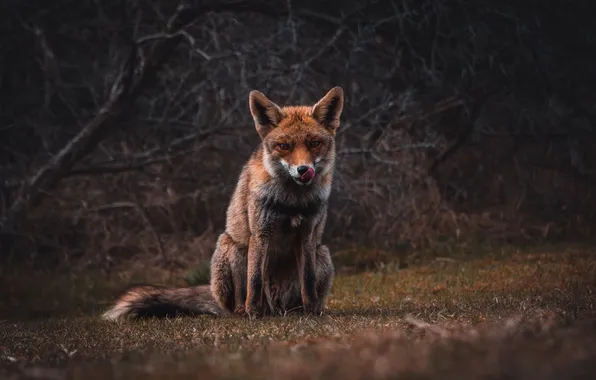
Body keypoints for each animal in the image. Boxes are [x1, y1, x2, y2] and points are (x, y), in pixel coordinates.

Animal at [102, 86, 344, 320]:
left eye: (314, 143)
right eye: (284, 146)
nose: (304, 170)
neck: (292, 201)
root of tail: (278, 309)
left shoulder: (307, 234)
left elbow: (308, 281)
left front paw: (312, 311)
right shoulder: (261, 232)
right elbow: (255, 280)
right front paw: (253, 313)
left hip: (322, 253)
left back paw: (301, 310)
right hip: (233, 247)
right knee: (239, 299)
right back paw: (245, 312)